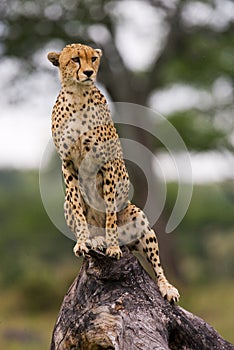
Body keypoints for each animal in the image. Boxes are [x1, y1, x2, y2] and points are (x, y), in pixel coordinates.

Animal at [47, 42, 179, 302]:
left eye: (94, 59)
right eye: (76, 59)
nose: (89, 72)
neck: (77, 94)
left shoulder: (105, 164)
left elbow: (109, 212)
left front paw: (113, 246)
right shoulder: (67, 163)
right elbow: (78, 210)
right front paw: (83, 242)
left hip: (137, 217)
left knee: (156, 263)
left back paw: (166, 286)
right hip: (66, 204)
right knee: (76, 210)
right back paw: (95, 239)